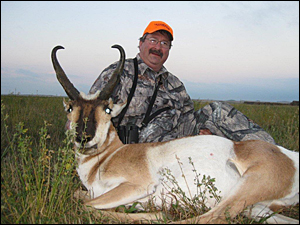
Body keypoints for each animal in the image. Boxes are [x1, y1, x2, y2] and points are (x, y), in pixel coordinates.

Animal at [51, 44, 298, 223]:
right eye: (70, 108)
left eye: (108, 109)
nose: (84, 138)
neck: (110, 156)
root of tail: (290, 157)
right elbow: (77, 196)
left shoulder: (138, 185)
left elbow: (83, 206)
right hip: (258, 209)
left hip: (250, 185)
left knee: (208, 218)